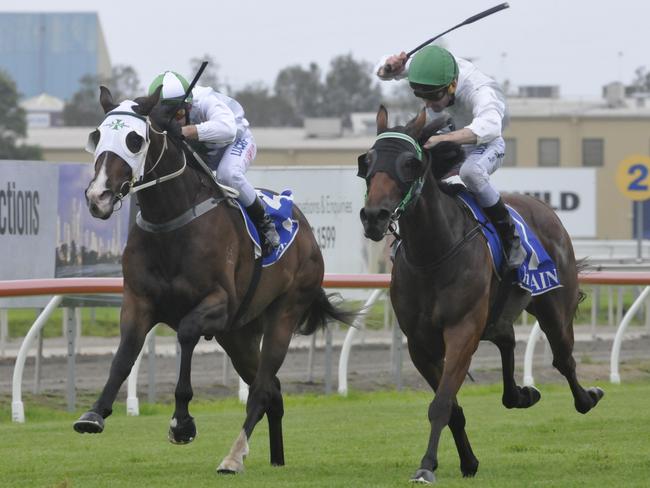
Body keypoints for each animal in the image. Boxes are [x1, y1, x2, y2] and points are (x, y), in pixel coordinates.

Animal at [74, 86, 352, 472]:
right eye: (97, 136)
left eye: (134, 140)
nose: (97, 196)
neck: (171, 222)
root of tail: (306, 229)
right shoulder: (138, 301)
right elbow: (125, 354)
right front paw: (95, 413)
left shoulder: (219, 304)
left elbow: (187, 333)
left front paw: (182, 422)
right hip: (238, 335)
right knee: (274, 392)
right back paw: (275, 459)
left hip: (283, 314)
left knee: (262, 390)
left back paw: (233, 456)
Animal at [356, 105, 600, 482]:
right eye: (367, 161)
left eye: (410, 163)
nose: (373, 216)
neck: (433, 253)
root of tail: (545, 209)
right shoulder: (419, 344)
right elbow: (452, 407)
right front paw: (466, 461)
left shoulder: (462, 330)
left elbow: (442, 402)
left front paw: (426, 466)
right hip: (497, 314)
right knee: (507, 339)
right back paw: (520, 394)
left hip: (554, 308)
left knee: (563, 359)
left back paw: (586, 398)